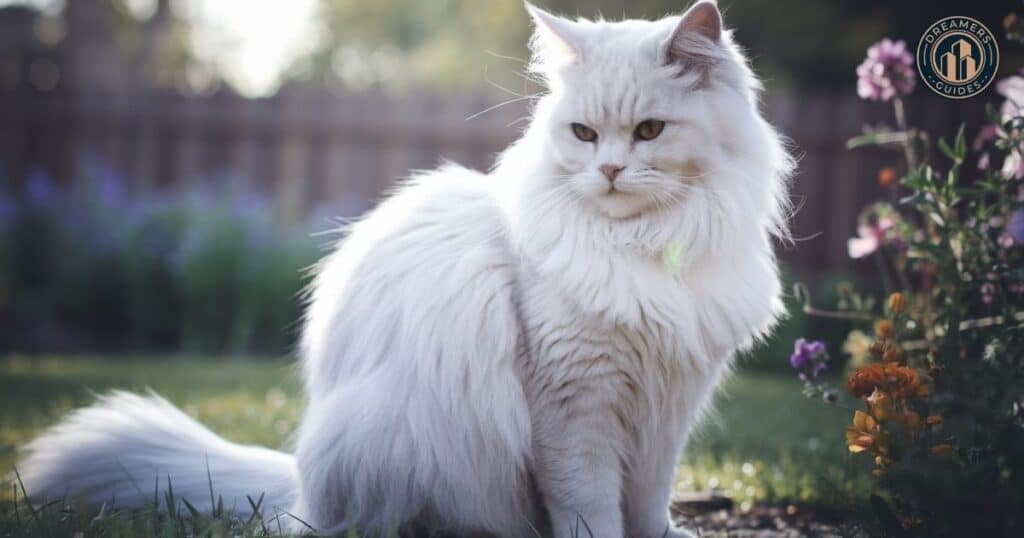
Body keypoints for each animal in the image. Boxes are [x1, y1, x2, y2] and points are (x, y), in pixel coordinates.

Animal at [18, 2, 790, 532]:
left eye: (650, 132)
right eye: (583, 133)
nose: (607, 170)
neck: (646, 250)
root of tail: (298, 484)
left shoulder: (669, 407)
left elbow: (649, 503)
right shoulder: (575, 406)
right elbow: (591, 505)